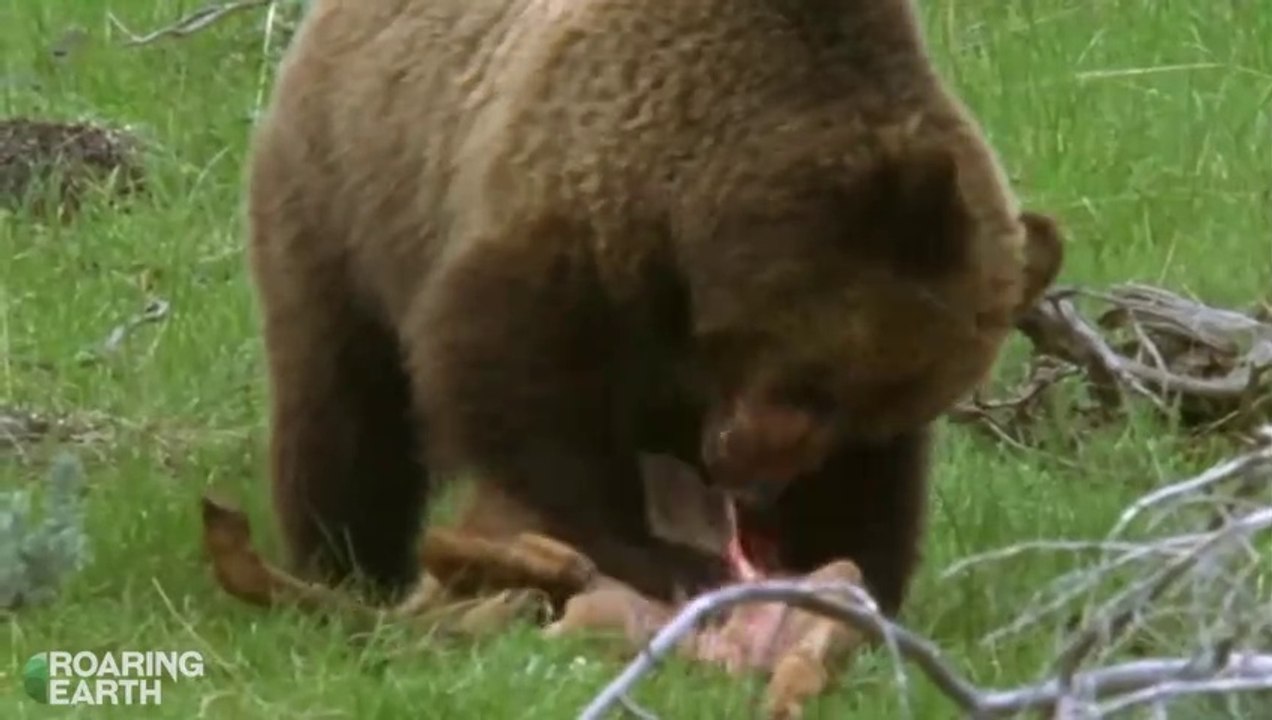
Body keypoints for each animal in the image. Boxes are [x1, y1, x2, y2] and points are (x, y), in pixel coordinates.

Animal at [244, 0, 1065, 613]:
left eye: (869, 412)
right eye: (819, 380)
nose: (751, 479)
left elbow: (872, 492)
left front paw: (851, 577)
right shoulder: (578, 218)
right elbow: (514, 378)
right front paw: (660, 555)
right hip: (345, 197)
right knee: (347, 407)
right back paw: (347, 562)